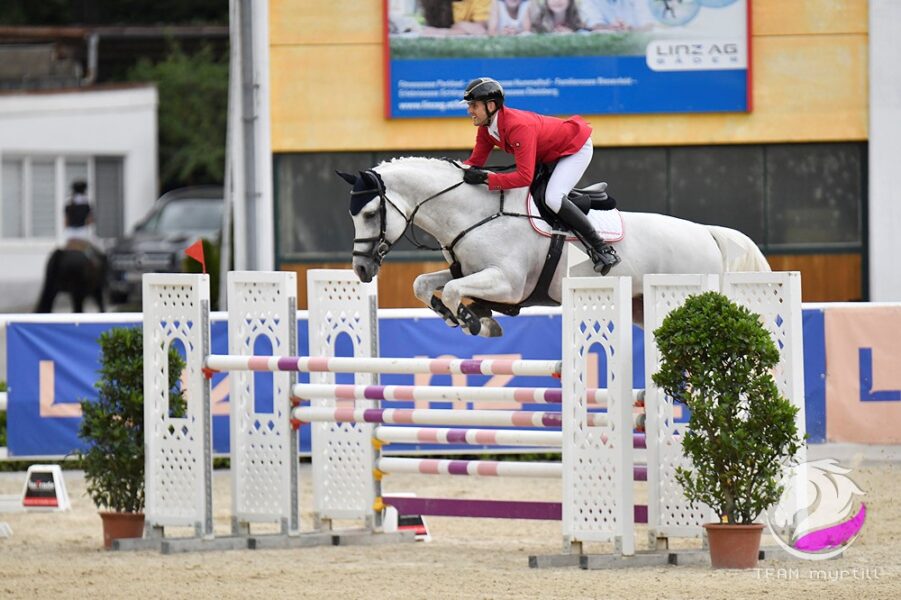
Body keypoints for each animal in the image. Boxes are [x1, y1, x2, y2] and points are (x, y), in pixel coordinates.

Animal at [338, 156, 768, 338]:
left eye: (372, 213)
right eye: (352, 215)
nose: (361, 269)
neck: (474, 213)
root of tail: (707, 233)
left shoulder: (508, 283)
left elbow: (459, 291)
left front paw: (475, 320)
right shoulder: (472, 271)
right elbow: (424, 284)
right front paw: (457, 315)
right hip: (642, 306)